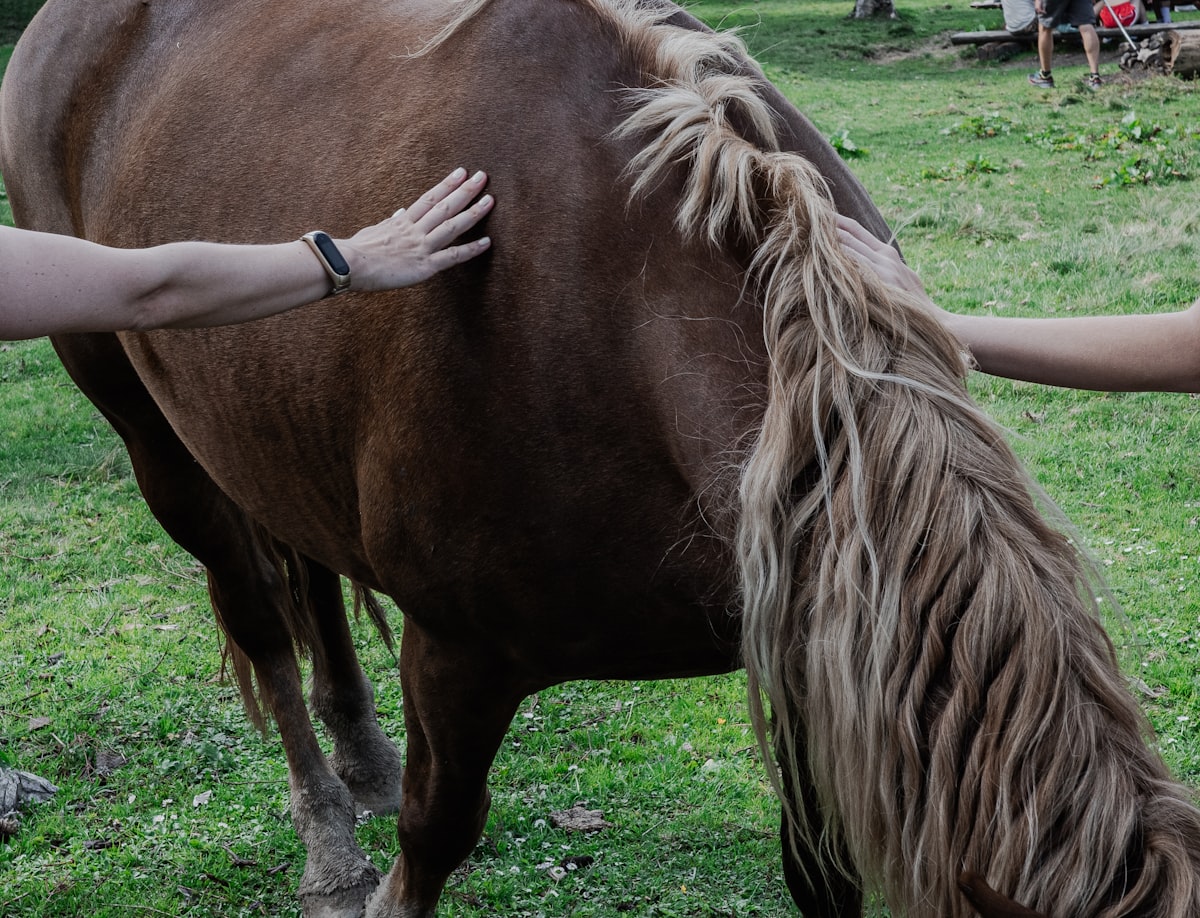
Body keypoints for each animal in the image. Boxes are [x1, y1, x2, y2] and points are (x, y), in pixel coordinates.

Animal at [4, 0, 1200, 916]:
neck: (631, 303)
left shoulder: (800, 632)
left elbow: (822, 877)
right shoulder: (458, 651)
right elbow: (434, 839)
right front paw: (378, 866)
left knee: (315, 584)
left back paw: (364, 762)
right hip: (152, 437)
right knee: (259, 613)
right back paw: (330, 841)